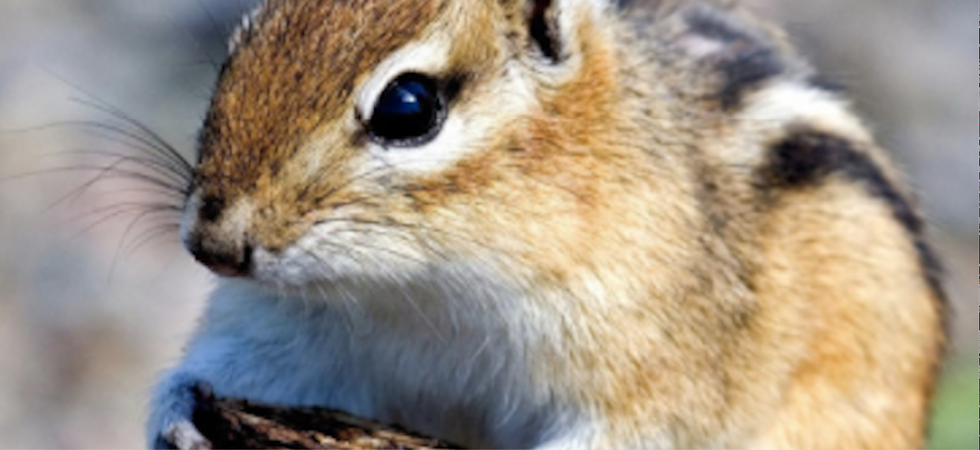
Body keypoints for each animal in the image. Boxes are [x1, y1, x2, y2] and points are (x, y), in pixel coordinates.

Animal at [148, 0, 946, 448]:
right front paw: (179, 416)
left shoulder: (646, 364)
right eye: (237, 48)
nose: (212, 244)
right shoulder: (283, 332)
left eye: (408, 106)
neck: (424, 289)